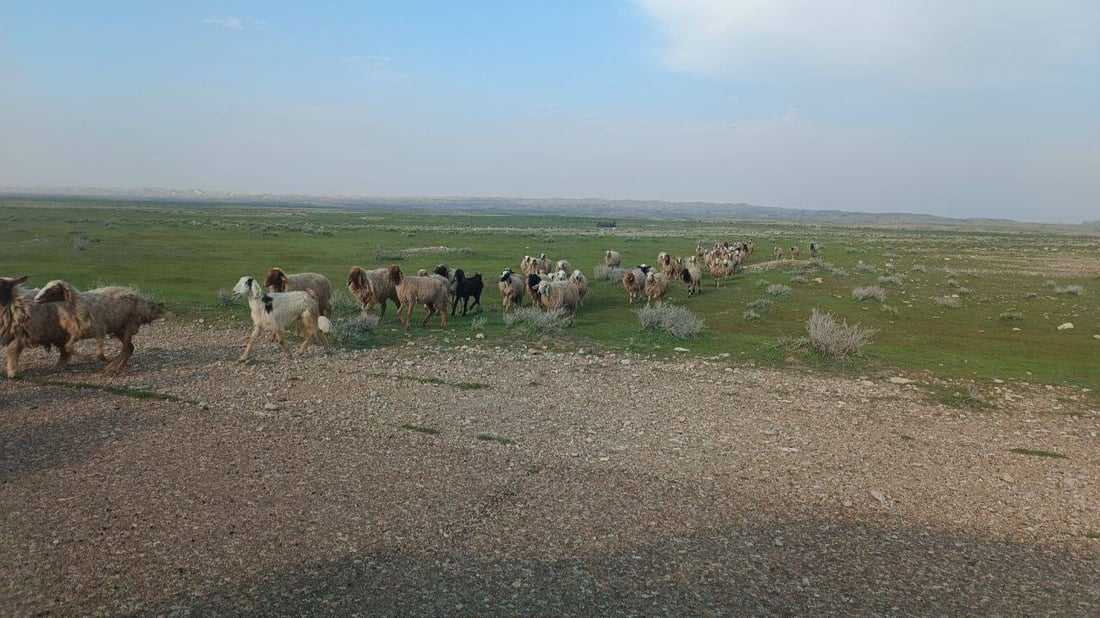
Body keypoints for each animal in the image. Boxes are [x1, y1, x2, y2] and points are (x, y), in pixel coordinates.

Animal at [33, 280, 165, 376]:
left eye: (54, 289)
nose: (36, 299)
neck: (74, 305)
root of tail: (144, 301)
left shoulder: (99, 330)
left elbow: (99, 354)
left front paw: (100, 358)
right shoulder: (76, 332)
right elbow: (68, 347)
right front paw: (85, 357)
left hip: (129, 324)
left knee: (128, 348)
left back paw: (112, 367)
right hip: (119, 328)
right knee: (129, 348)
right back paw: (116, 367)